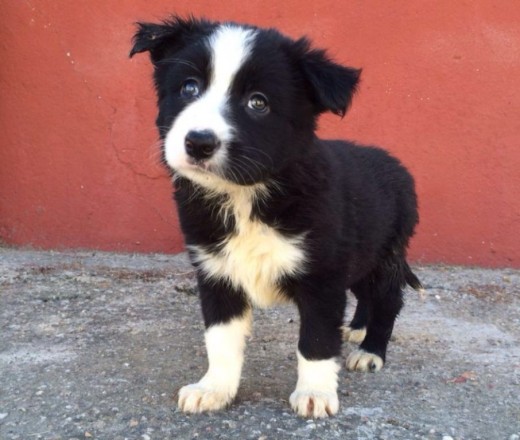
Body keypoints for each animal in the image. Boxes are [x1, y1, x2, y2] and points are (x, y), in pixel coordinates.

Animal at [131, 15, 422, 418]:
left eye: (258, 102)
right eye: (189, 87)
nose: (199, 142)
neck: (245, 195)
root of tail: (397, 166)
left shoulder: (322, 276)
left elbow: (316, 340)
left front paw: (315, 393)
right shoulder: (216, 273)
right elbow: (220, 339)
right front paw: (214, 389)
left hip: (384, 255)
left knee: (389, 299)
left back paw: (371, 351)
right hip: (361, 255)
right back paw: (357, 328)